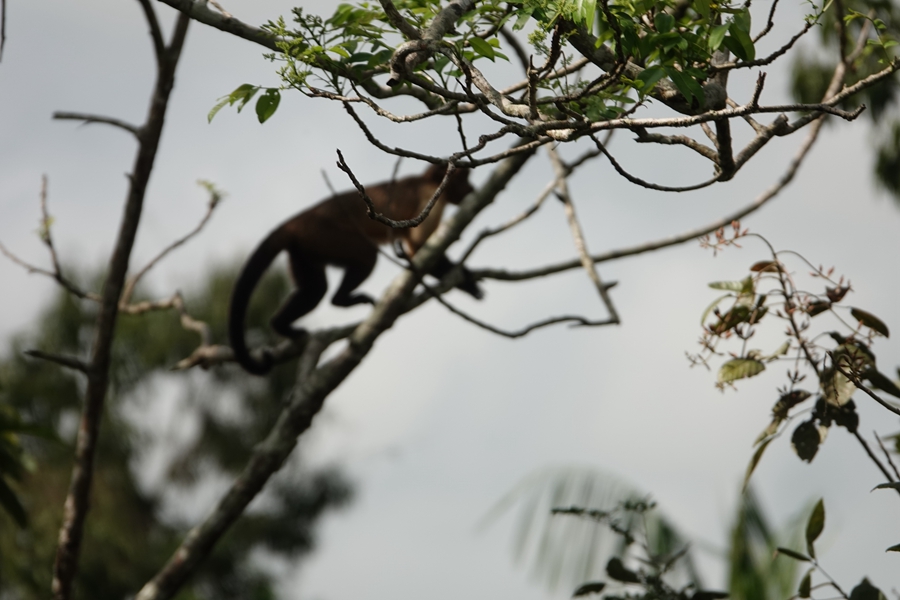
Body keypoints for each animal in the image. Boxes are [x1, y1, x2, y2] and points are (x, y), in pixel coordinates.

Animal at [230, 162, 486, 372]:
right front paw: (467, 281)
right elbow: (419, 249)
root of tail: (295, 223)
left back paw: (283, 326)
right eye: (465, 179)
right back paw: (342, 299)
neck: (428, 181)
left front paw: (468, 280)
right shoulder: (429, 198)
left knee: (315, 290)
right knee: (367, 256)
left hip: (304, 249)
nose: (472, 188)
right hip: (323, 234)